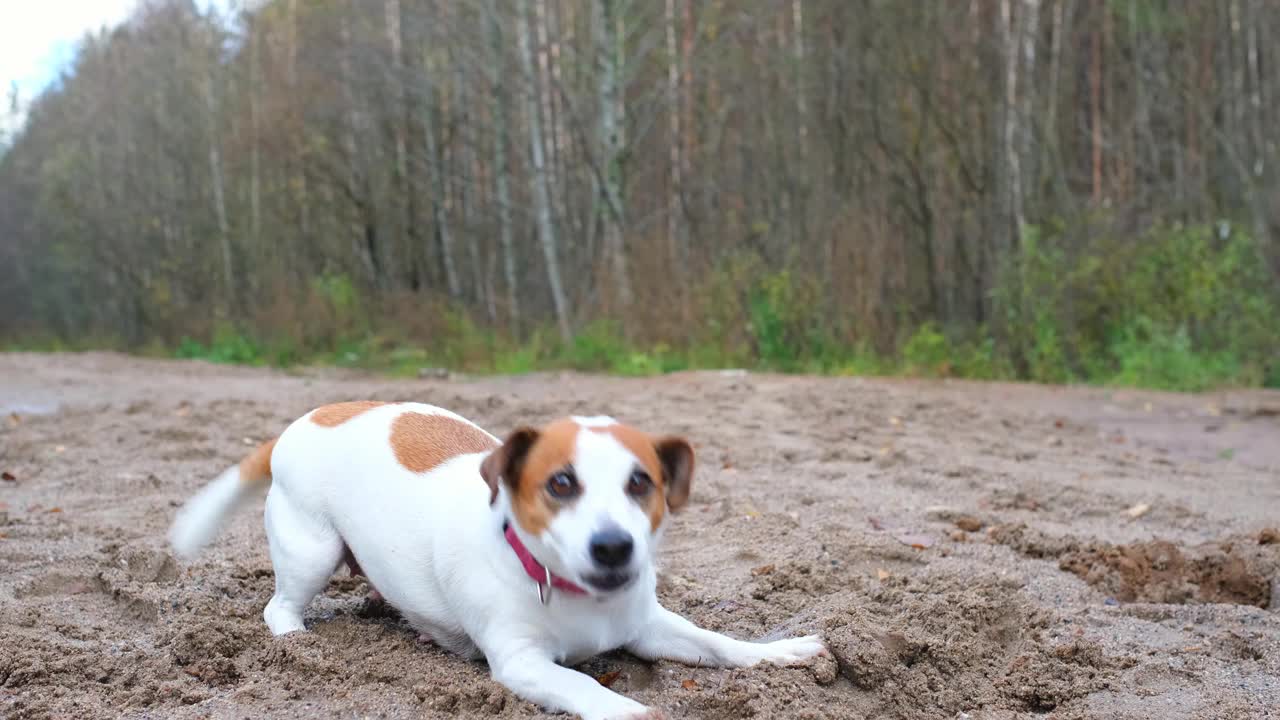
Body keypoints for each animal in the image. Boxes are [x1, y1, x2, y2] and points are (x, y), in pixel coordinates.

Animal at [170, 399, 824, 712]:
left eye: (642, 483)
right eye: (560, 484)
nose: (613, 545)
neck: (575, 598)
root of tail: (304, 421)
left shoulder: (648, 626)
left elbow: (719, 644)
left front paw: (779, 652)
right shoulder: (522, 664)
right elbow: (587, 688)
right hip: (312, 550)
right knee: (278, 607)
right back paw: (297, 644)